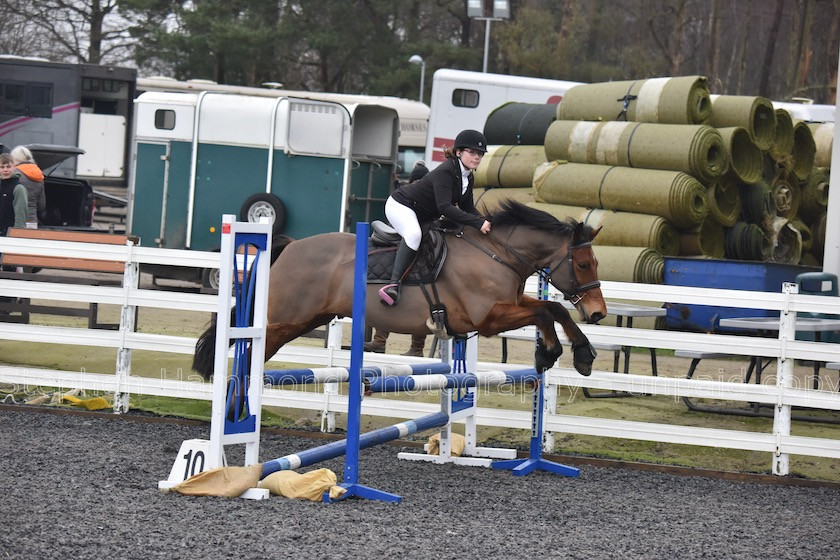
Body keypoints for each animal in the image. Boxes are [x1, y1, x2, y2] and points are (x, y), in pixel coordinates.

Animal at [194, 199, 608, 378]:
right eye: (583, 264)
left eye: (594, 263)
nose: (598, 312)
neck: (496, 253)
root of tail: (291, 246)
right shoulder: (489, 318)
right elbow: (542, 313)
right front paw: (551, 354)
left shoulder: (506, 304)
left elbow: (554, 310)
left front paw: (580, 355)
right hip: (284, 320)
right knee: (247, 352)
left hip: (304, 319)